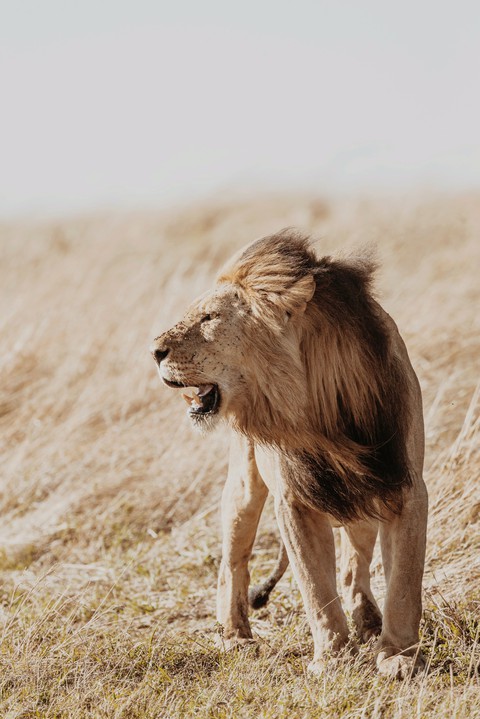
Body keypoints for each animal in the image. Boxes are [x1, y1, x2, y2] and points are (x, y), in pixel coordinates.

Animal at [150, 230, 428, 679]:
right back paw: (236, 636)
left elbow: (404, 582)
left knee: (353, 566)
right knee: (233, 561)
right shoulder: (294, 501)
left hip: (362, 499)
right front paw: (332, 659)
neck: (317, 407)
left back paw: (368, 620)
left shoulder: (403, 486)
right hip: (244, 486)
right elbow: (315, 587)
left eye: (209, 318)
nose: (154, 351)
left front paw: (398, 657)